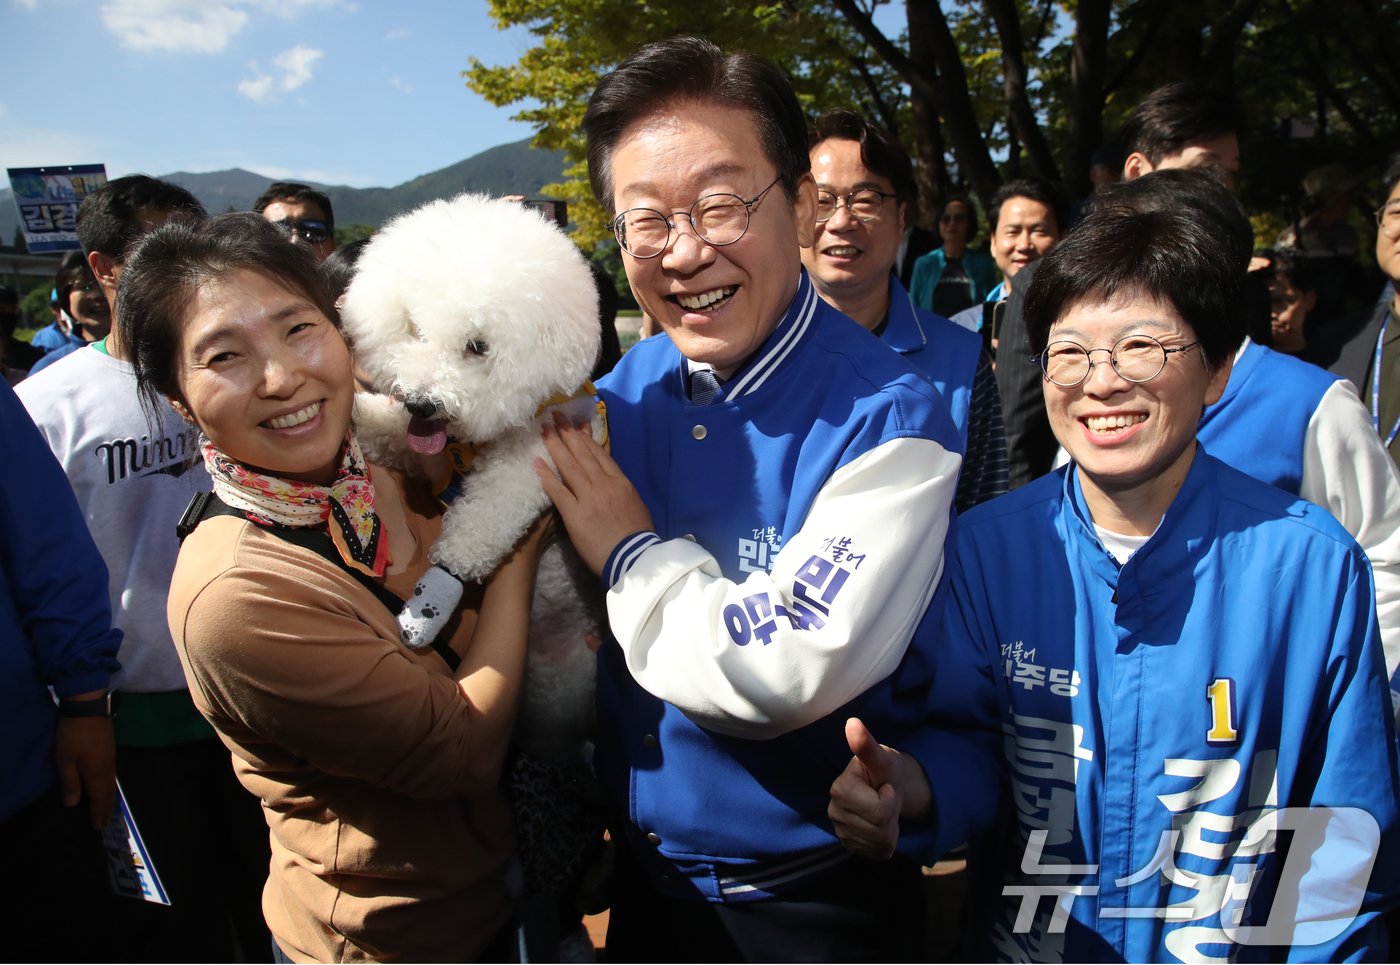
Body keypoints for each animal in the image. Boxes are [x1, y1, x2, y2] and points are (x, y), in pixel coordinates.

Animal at [341, 191, 604, 756]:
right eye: (415, 329)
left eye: (477, 347)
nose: (421, 402)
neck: (474, 444)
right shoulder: (425, 452)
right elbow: (389, 432)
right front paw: (352, 416)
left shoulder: (533, 463)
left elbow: (480, 520)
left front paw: (438, 589)